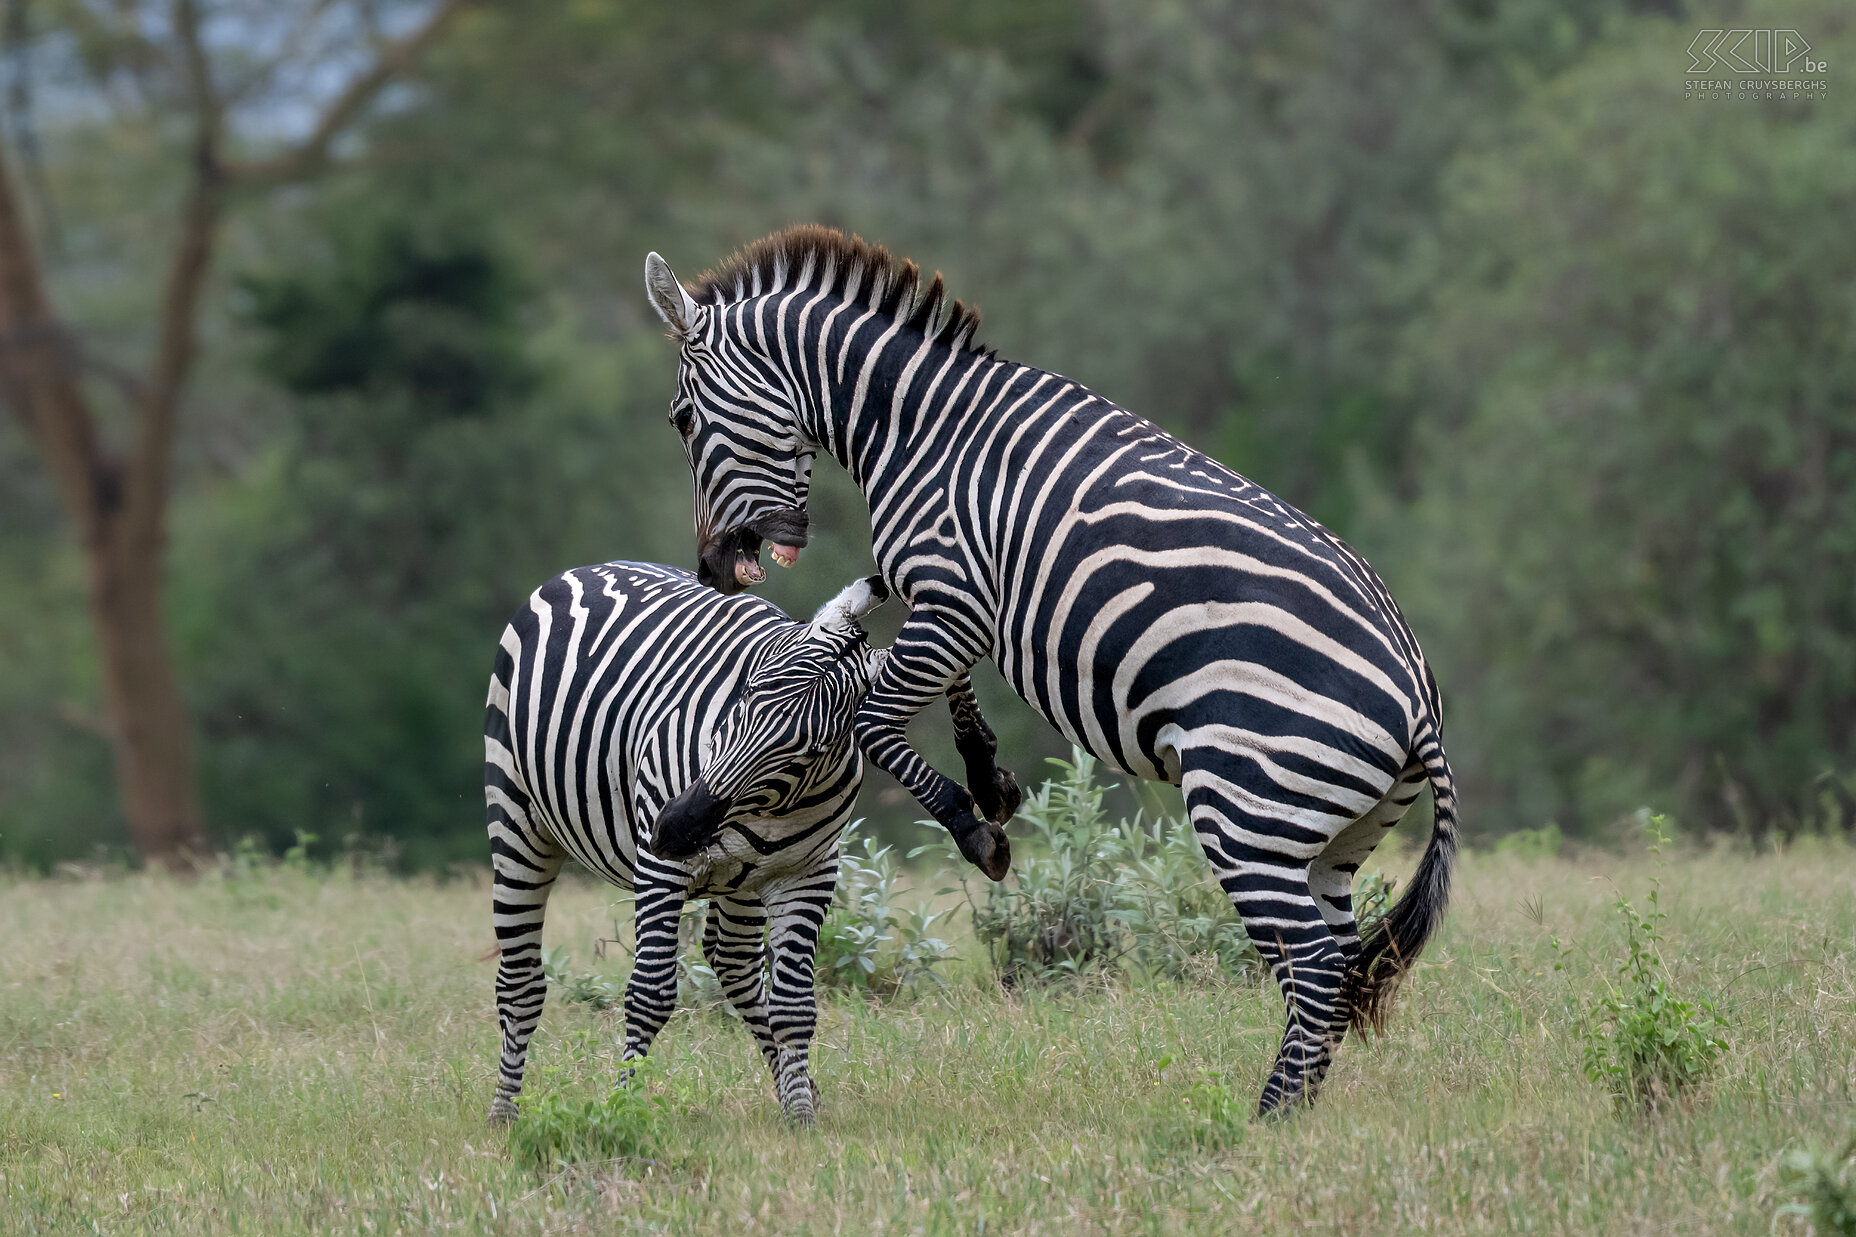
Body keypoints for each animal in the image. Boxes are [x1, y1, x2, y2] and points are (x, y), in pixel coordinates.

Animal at [478, 564, 883, 1121]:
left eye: (813, 748)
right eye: (747, 695)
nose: (678, 827)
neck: (772, 807)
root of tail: (588, 569)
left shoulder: (809, 871)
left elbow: (794, 1005)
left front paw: (801, 1113)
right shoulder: (658, 868)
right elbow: (649, 994)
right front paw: (621, 1108)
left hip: (744, 879)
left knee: (733, 961)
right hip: (517, 817)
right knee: (519, 982)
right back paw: (503, 1114)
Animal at [645, 226, 1455, 1114]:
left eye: (682, 419)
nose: (712, 569)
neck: (917, 429)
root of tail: (1419, 697)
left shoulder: (952, 592)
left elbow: (872, 718)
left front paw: (974, 825)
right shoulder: (952, 597)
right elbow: (930, 682)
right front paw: (988, 773)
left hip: (1248, 808)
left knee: (1311, 964)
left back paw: (1267, 1117)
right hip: (1331, 842)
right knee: (1334, 961)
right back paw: (1298, 1109)